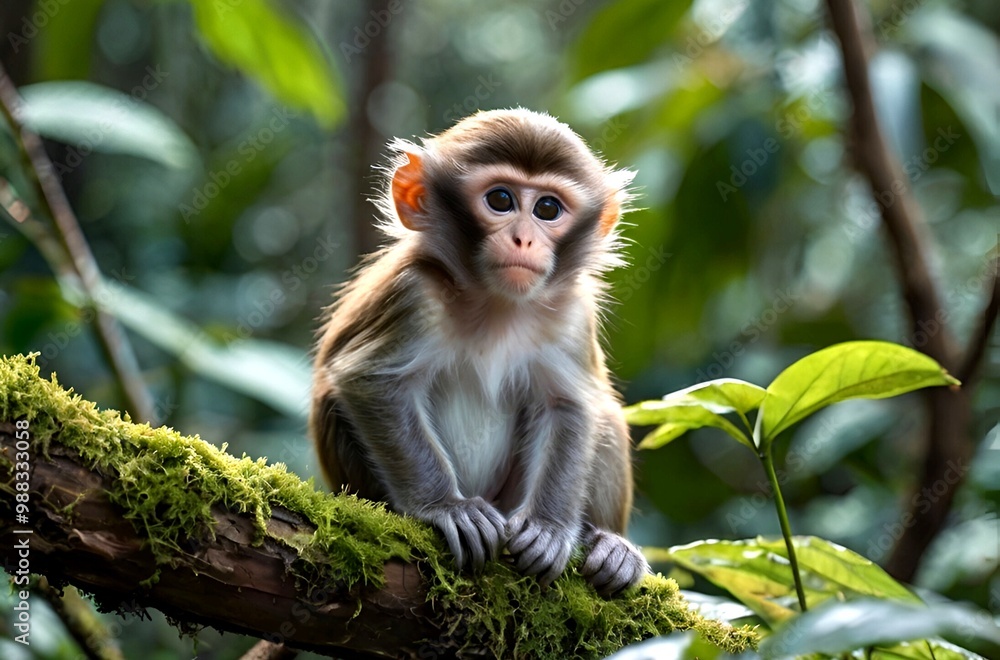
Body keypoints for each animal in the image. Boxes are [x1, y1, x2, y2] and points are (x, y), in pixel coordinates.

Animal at [310, 108, 649, 597]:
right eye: (501, 200)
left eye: (548, 209)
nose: (524, 239)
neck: (496, 305)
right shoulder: (413, 293)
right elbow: (368, 380)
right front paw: (447, 507)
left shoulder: (572, 315)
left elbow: (572, 403)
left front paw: (549, 529)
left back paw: (610, 546)